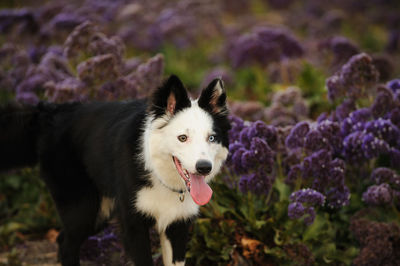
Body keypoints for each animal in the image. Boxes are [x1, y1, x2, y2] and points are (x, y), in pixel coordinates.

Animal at [0, 75, 230, 266]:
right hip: (83, 209)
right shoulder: (133, 225)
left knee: (62, 239)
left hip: (99, 213)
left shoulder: (177, 226)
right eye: (183, 137)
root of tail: (49, 112)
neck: (155, 171)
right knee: (66, 245)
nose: (204, 167)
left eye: (211, 138)